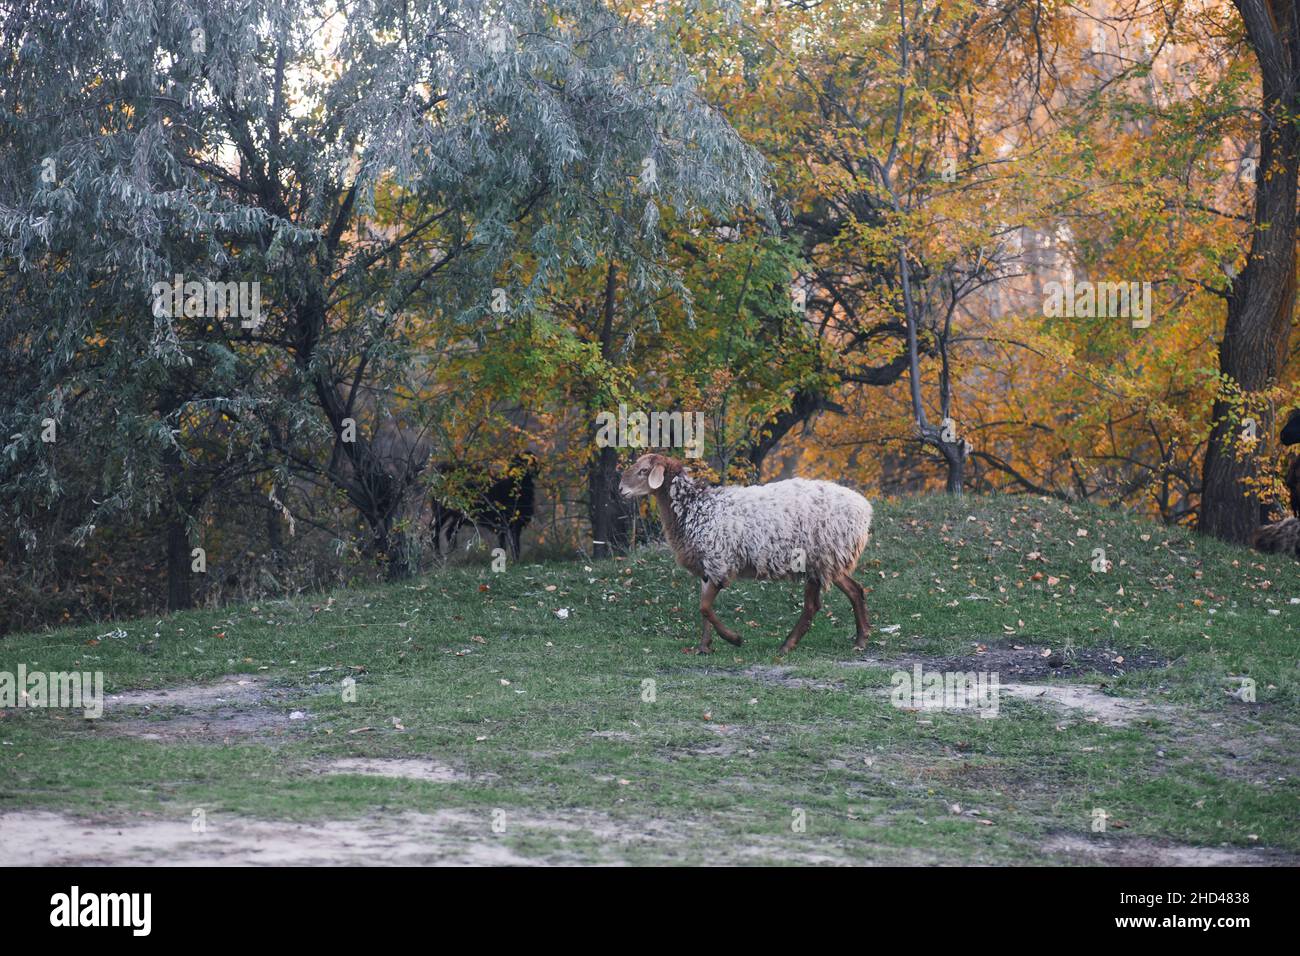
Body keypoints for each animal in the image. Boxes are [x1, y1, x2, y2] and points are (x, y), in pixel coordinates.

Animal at [616, 452, 873, 655]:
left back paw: (787, 646)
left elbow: (705, 607)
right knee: (854, 590)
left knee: (813, 606)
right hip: (829, 560)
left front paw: (735, 639)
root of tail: (864, 509)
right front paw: (704, 647)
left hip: (821, 557)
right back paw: (860, 640)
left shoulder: (719, 562)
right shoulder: (707, 567)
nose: (620, 489)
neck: (695, 509)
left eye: (644, 470)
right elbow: (703, 608)